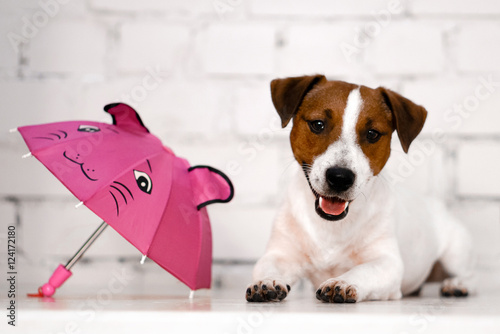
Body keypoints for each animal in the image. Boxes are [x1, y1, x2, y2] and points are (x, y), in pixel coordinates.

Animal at [248, 75, 474, 302]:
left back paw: (455, 285)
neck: (331, 227)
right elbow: (268, 266)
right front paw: (267, 281)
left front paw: (342, 282)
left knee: (467, 274)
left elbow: (363, 270)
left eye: (372, 134)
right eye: (318, 124)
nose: (340, 177)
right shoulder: (281, 254)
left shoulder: (387, 263)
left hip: (454, 253)